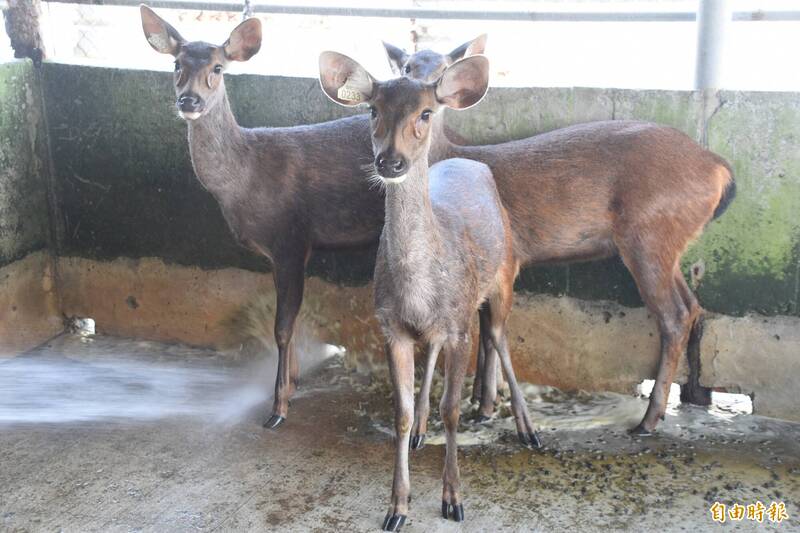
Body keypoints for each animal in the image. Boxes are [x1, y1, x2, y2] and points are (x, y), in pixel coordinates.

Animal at [320, 52, 536, 528]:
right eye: (372, 110)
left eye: (425, 113)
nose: (390, 161)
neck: (418, 290)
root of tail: (472, 163)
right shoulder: (391, 327)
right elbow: (398, 413)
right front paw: (397, 507)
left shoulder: (459, 327)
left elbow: (451, 410)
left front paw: (452, 499)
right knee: (435, 352)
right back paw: (422, 430)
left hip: (504, 275)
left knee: (500, 337)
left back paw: (527, 429)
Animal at [384, 38, 736, 436]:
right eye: (407, 67)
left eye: (443, 68)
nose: (423, 89)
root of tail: (718, 167)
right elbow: (485, 326)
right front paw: (484, 399)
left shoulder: (507, 258)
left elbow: (490, 329)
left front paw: (486, 405)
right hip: (667, 241)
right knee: (693, 306)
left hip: (649, 232)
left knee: (674, 314)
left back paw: (648, 420)